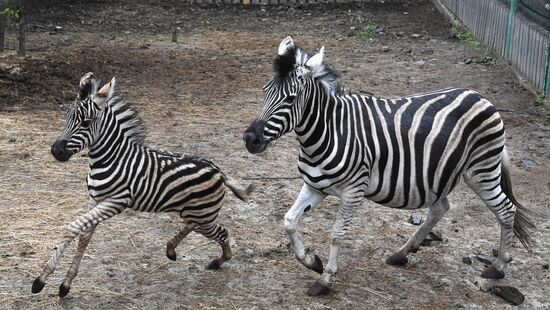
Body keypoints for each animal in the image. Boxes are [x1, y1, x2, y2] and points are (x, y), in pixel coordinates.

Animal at [32, 72, 252, 298]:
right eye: (66, 117)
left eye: (85, 122)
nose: (56, 151)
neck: (110, 158)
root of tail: (219, 170)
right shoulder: (95, 200)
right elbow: (84, 237)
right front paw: (66, 284)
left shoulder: (115, 202)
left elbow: (73, 228)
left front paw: (41, 279)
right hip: (195, 213)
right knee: (194, 226)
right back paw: (171, 249)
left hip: (203, 215)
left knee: (222, 232)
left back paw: (218, 261)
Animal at [244, 36, 536, 296]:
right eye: (264, 91)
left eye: (290, 99)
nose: (250, 139)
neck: (328, 132)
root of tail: (482, 97)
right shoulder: (315, 186)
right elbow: (289, 221)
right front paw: (311, 261)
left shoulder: (353, 191)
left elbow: (337, 234)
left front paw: (325, 280)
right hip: (439, 173)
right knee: (440, 208)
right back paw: (401, 253)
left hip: (481, 170)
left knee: (506, 210)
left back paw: (498, 267)